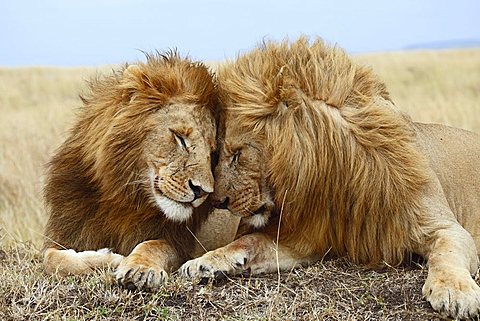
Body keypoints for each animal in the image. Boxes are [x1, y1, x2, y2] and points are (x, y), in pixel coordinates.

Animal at [42, 50, 228, 290]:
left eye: (212, 153)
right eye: (180, 138)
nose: (202, 192)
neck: (124, 196)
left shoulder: (179, 243)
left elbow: (153, 245)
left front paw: (140, 268)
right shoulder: (67, 233)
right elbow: (51, 258)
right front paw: (108, 258)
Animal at [179, 38, 480, 318]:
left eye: (238, 154)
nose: (217, 201)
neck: (337, 173)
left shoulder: (443, 226)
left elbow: (447, 252)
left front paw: (455, 291)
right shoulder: (306, 239)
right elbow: (250, 241)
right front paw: (205, 261)